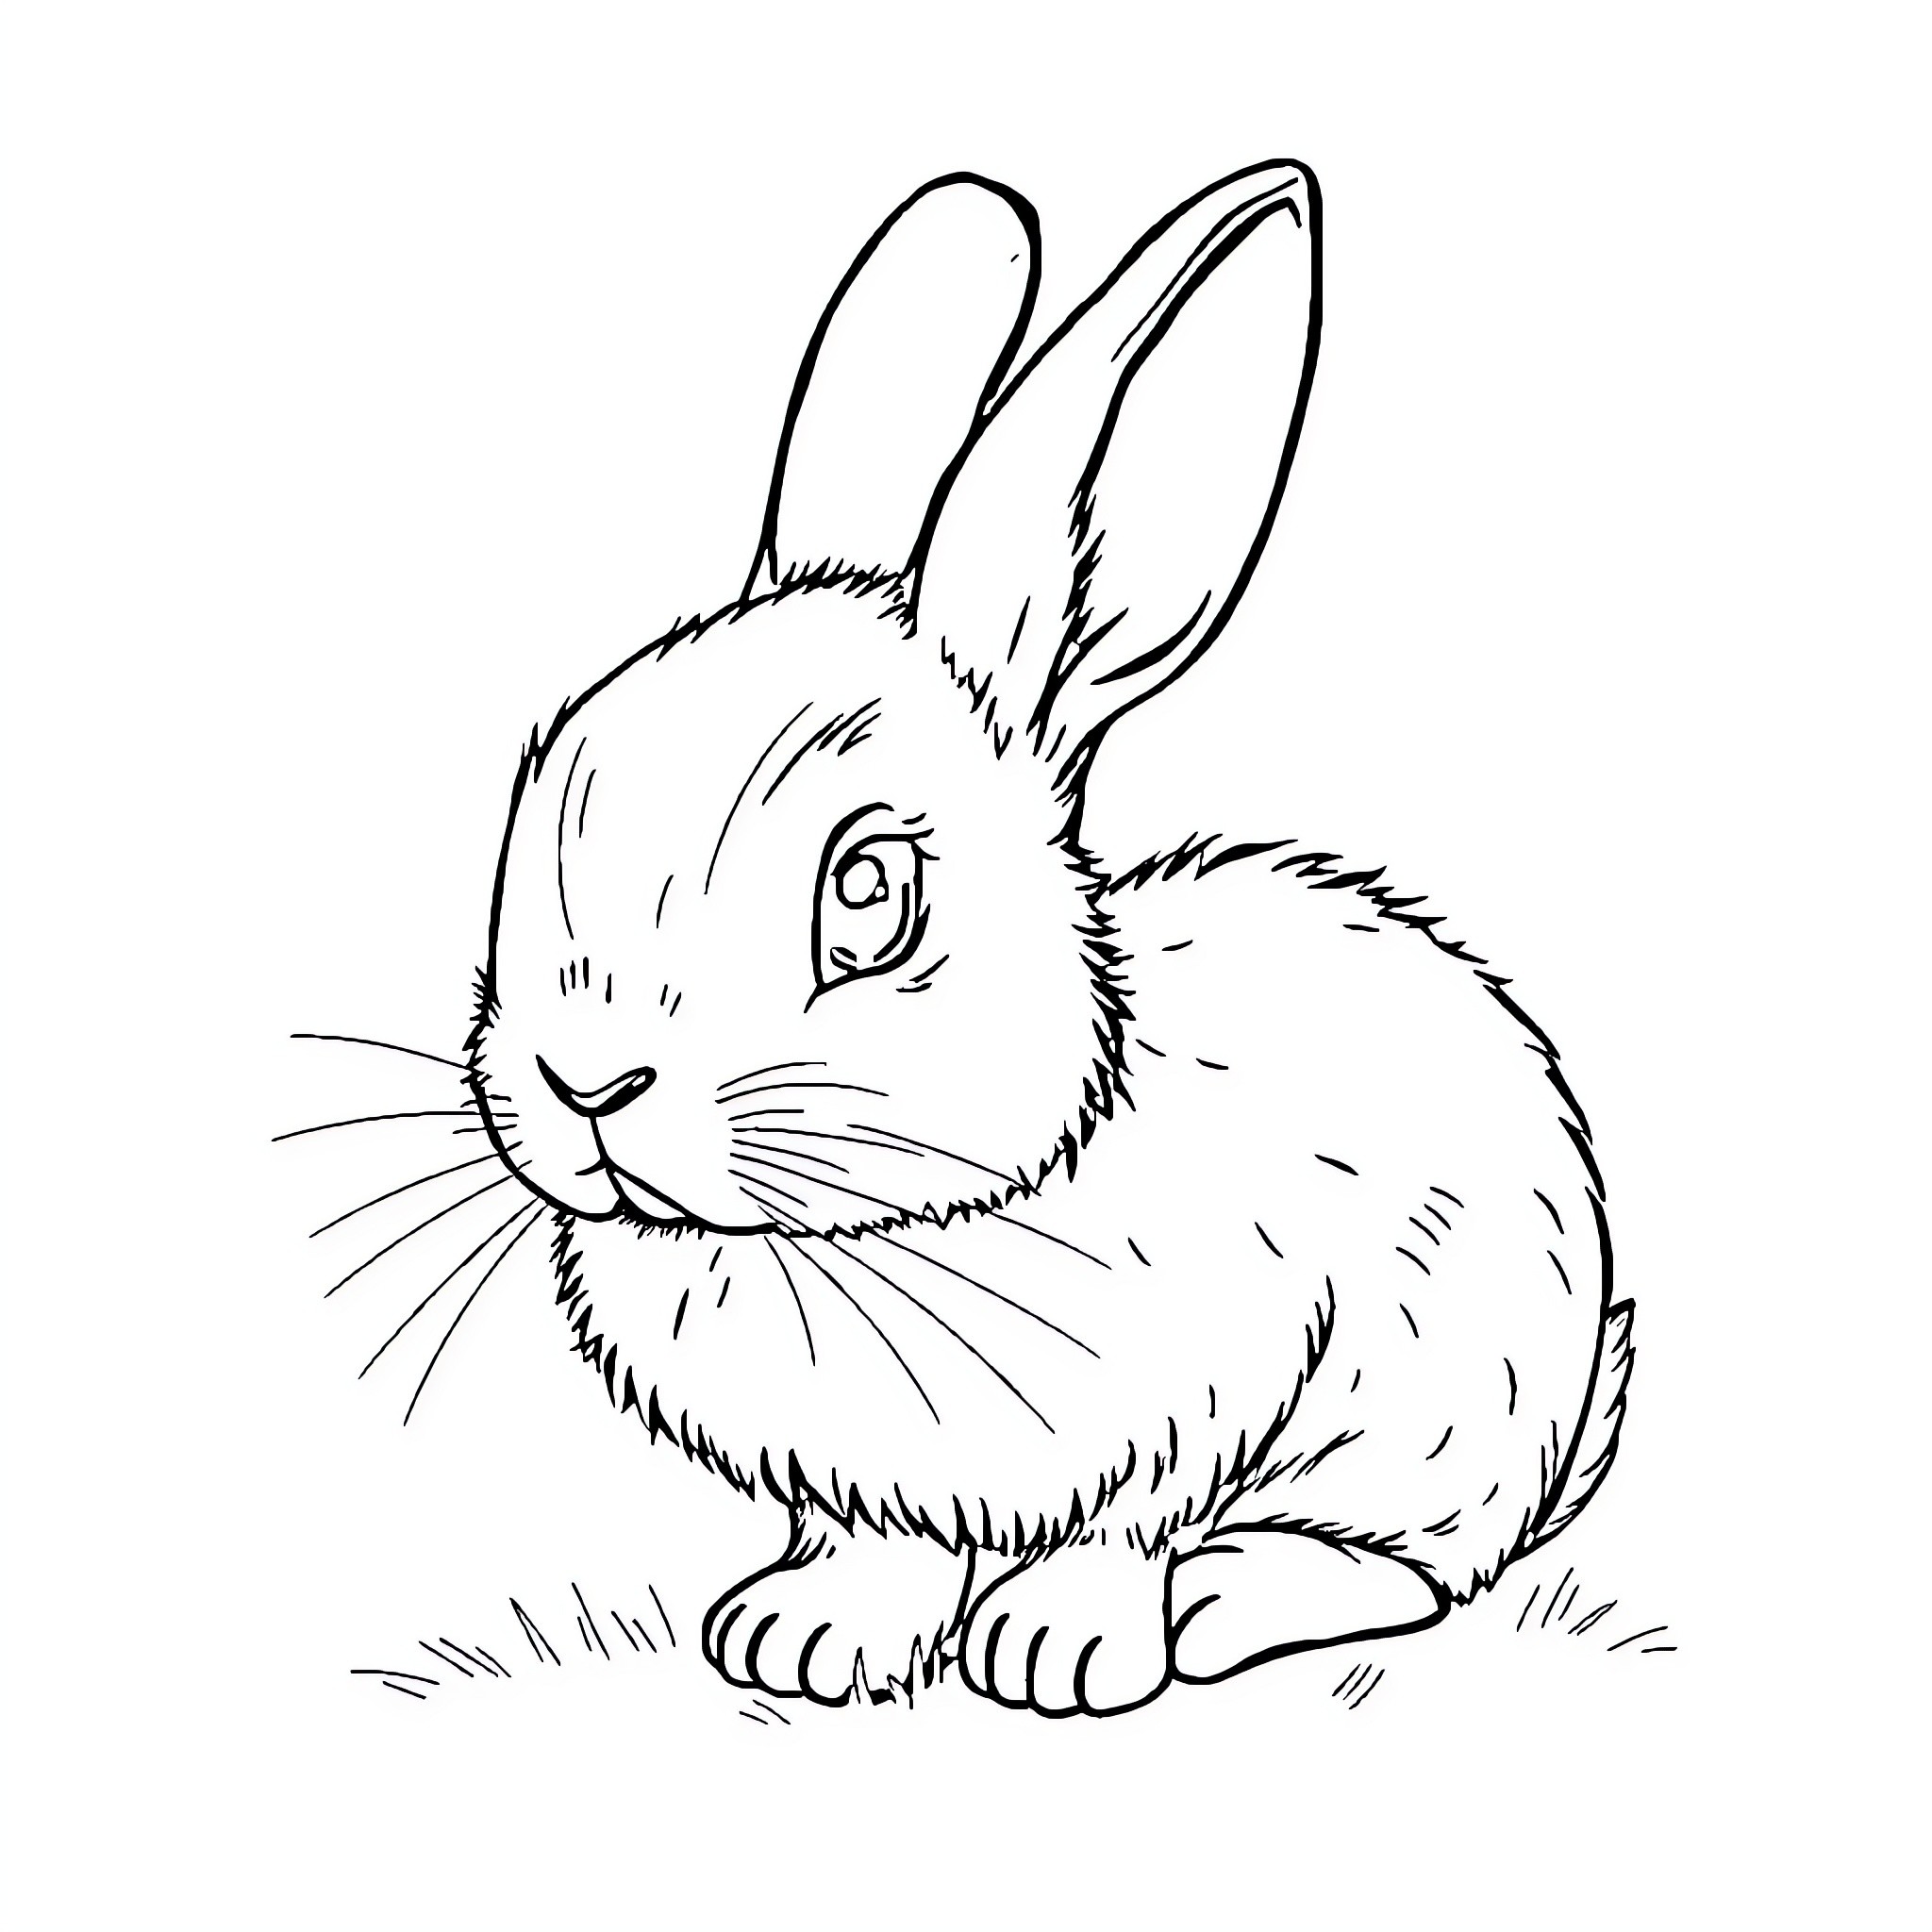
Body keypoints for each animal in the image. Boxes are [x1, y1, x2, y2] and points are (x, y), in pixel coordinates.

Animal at [463, 160, 1635, 1717]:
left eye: (869, 892)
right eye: (537, 809)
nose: (587, 1084)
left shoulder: (1221, 1383)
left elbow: (1126, 1526)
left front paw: (1056, 1651)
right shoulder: (865, 1484)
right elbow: (871, 1544)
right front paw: (808, 1639)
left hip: (1443, 1407)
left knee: (1404, 1563)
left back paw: (1232, 1595)